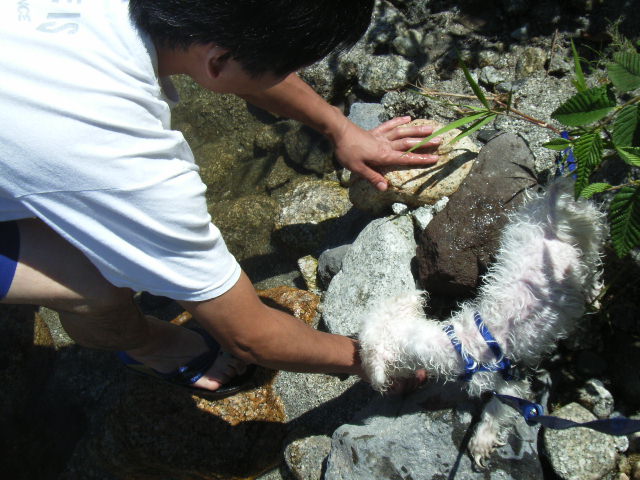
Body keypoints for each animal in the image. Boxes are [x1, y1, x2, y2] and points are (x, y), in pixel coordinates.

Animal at [358, 178, 606, 466]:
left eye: (362, 352)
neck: (460, 344)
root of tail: (553, 207)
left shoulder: (510, 379)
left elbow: (497, 408)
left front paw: (480, 442)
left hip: (586, 239)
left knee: (592, 265)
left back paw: (592, 291)